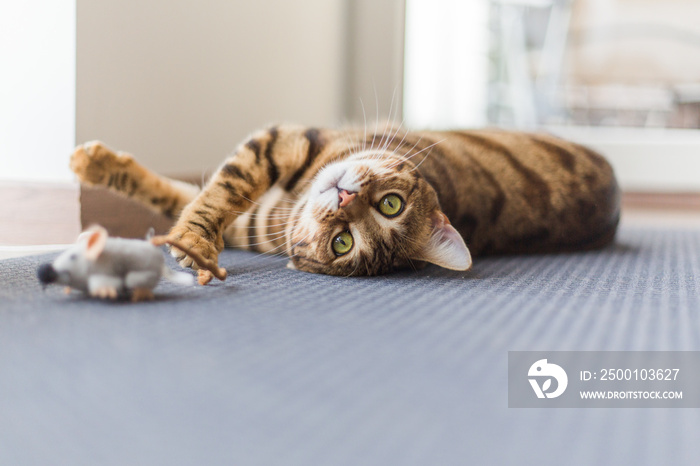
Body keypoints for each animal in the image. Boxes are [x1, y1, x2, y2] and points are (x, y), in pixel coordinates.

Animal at [69, 124, 616, 284]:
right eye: (392, 205)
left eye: (342, 242)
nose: (344, 199)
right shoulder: (283, 143)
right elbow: (200, 192)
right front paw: (96, 164)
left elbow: (200, 195)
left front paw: (190, 244)